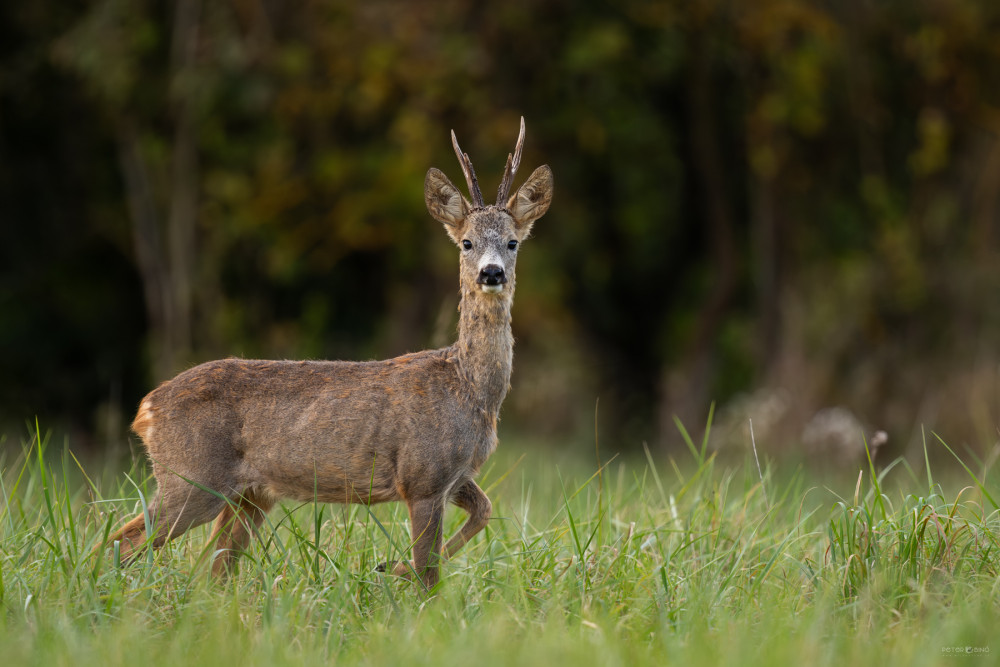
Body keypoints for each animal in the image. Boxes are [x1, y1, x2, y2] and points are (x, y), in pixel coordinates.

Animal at [105, 118, 556, 588]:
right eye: (466, 242)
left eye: (512, 243)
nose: (492, 273)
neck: (469, 388)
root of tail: (146, 408)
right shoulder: (423, 476)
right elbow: (428, 572)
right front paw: (399, 575)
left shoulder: (456, 476)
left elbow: (484, 511)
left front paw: (389, 566)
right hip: (192, 477)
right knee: (123, 540)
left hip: (250, 494)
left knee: (213, 567)